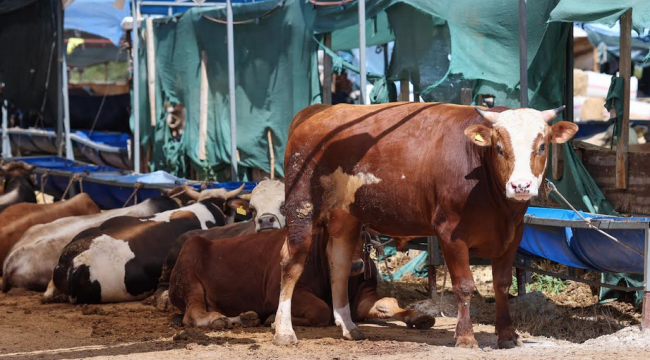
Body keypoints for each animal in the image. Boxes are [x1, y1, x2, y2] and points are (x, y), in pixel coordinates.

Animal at [168, 228, 430, 332]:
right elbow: (321, 309)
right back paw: (219, 320)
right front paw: (275, 320)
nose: (356, 265)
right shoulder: (276, 292)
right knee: (193, 313)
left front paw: (418, 316)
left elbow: (388, 302)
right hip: (188, 273)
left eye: (363, 229)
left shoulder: (364, 297)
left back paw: (244, 317)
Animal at [270, 102, 576, 348]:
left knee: (340, 265)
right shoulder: (450, 232)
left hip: (346, 217)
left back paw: (348, 327)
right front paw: (466, 337)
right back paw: (284, 331)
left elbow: (502, 285)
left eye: (542, 146)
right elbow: (464, 285)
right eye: (499, 148)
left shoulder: (513, 234)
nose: (520, 186)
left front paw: (507, 336)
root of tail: (316, 111)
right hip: (302, 208)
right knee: (291, 263)